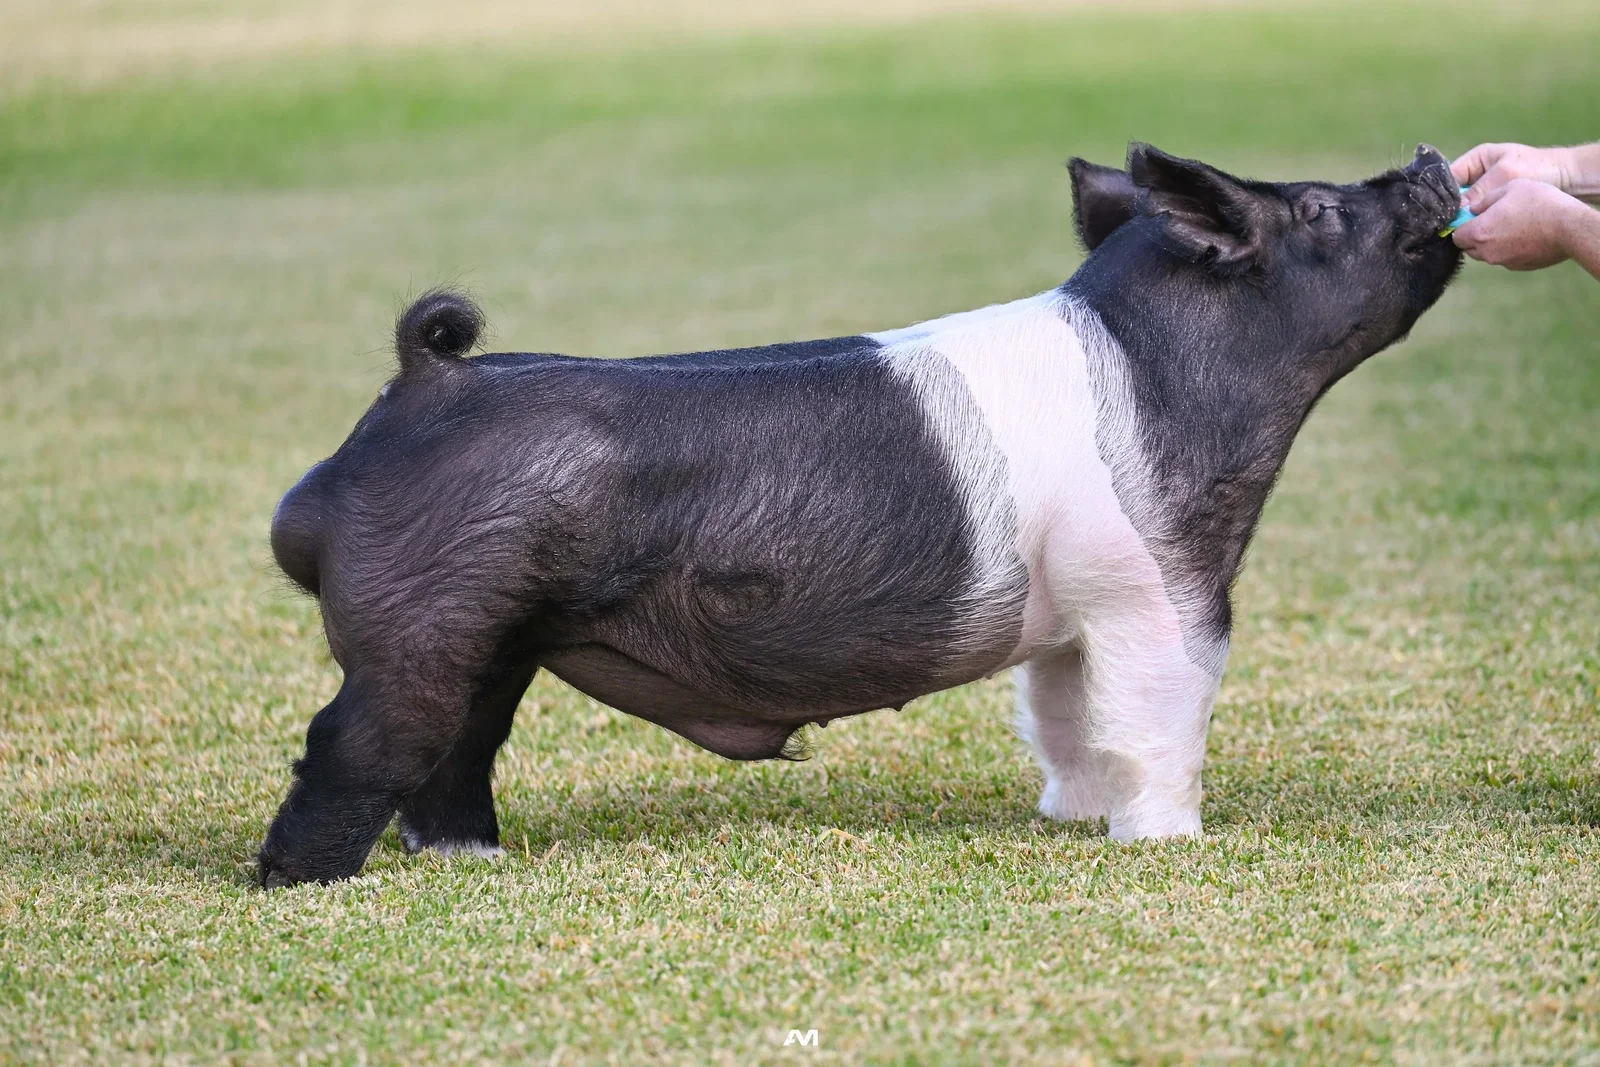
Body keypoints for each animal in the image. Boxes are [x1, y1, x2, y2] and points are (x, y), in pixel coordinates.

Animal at [258, 143, 1462, 887]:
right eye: (1317, 209)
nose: (1425, 161)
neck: (1167, 372)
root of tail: (422, 383)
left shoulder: (1075, 609)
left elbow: (1065, 718)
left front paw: (1073, 821)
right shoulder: (1164, 589)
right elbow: (1161, 719)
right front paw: (1170, 845)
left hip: (490, 638)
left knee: (458, 749)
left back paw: (471, 860)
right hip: (422, 628)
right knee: (348, 745)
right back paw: (303, 887)